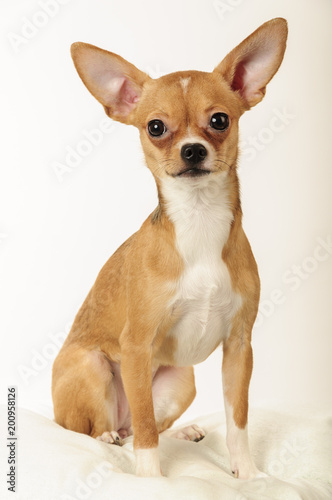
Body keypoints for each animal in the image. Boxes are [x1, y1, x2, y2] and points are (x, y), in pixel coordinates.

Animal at [52, 18, 288, 480]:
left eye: (220, 120)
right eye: (156, 127)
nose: (193, 149)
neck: (199, 223)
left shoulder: (239, 347)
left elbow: (238, 418)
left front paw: (246, 472)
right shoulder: (136, 346)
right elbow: (145, 428)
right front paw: (150, 478)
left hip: (182, 381)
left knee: (136, 427)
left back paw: (181, 432)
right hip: (92, 368)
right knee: (107, 429)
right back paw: (108, 436)